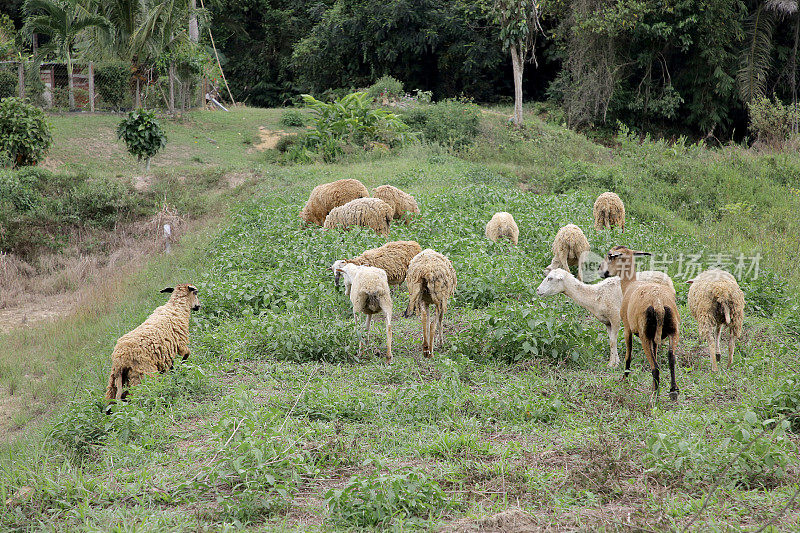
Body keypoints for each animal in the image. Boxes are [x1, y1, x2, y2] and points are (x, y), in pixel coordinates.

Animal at [536, 268, 676, 368]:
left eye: (550, 278)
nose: (537, 290)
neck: (596, 295)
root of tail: (668, 279)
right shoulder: (607, 322)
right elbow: (611, 341)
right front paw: (615, 361)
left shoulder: (615, 318)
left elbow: (613, 341)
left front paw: (612, 364)